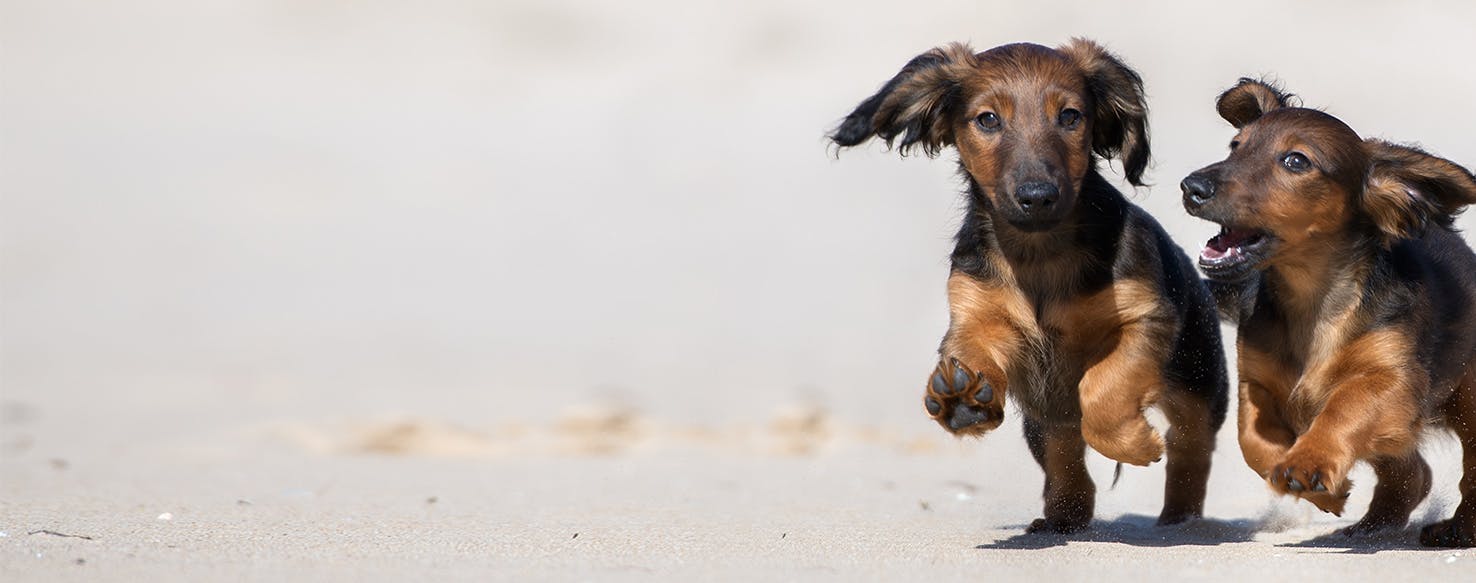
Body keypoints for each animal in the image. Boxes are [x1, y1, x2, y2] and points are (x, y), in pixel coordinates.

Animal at [826, 40, 1228, 534]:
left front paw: (1133, 442)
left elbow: (1103, 387)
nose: (1037, 196)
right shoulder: (976, 314)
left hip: (1199, 380)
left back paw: (1180, 519)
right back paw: (1064, 516)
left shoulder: (1145, 315)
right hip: (1042, 420)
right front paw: (962, 399)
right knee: (1063, 454)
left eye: (1071, 116)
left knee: (1189, 445)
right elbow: (974, 353)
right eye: (987, 120)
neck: (1038, 252)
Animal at [1180, 77, 1476, 549]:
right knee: (1414, 473)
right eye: (1235, 146)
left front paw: (1309, 463)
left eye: (1295, 160)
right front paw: (1322, 490)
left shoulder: (1392, 381)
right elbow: (1252, 440)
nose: (1191, 186)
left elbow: (1342, 407)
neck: (1314, 301)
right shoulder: (1256, 381)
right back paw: (1374, 525)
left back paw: (1459, 529)